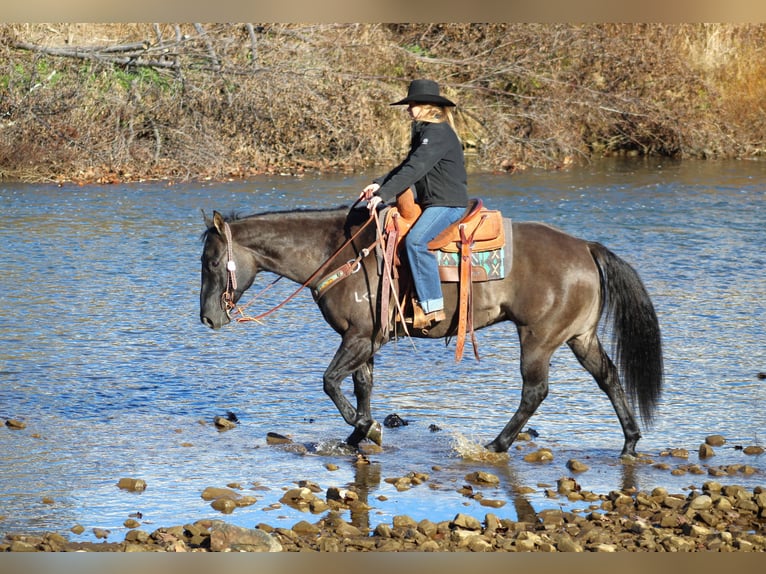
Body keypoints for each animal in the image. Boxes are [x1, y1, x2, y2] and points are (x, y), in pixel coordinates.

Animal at [201, 205, 664, 456]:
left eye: (211, 261)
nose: (208, 318)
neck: (340, 254)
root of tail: (586, 247)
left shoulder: (360, 337)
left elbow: (331, 382)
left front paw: (365, 428)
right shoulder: (363, 340)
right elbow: (361, 386)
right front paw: (358, 433)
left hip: (538, 338)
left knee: (535, 392)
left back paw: (496, 444)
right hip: (580, 337)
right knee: (608, 377)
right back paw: (629, 441)